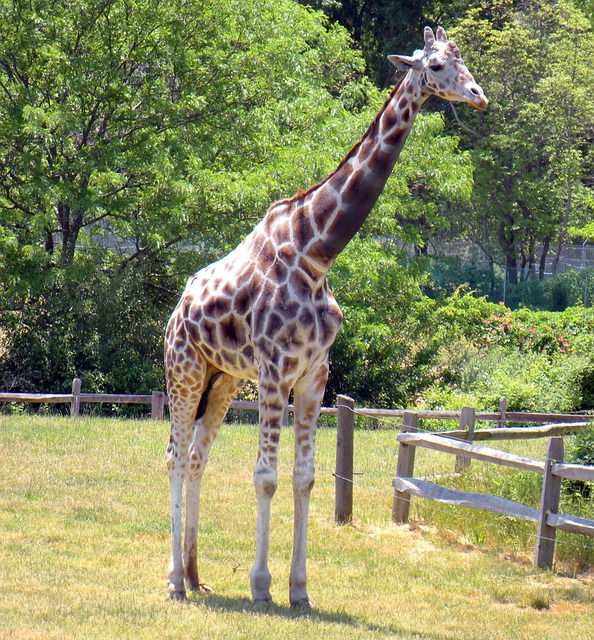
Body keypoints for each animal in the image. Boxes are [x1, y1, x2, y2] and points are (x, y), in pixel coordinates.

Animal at [163, 26, 486, 604]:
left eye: (463, 59)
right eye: (436, 66)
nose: (479, 96)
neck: (317, 252)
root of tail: (176, 312)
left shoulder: (314, 373)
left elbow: (305, 477)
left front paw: (299, 589)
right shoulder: (275, 372)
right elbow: (265, 476)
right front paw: (262, 586)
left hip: (221, 380)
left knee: (197, 457)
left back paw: (198, 576)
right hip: (185, 372)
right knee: (175, 458)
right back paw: (175, 580)